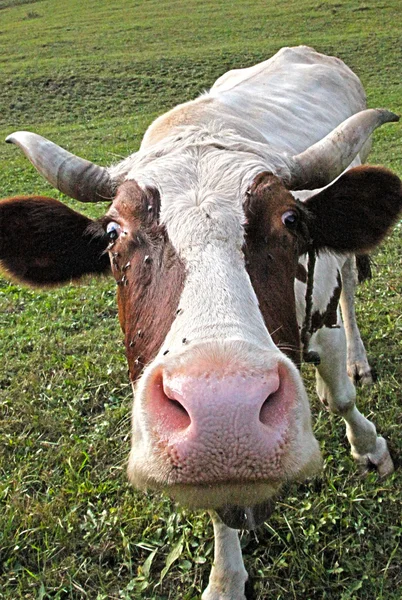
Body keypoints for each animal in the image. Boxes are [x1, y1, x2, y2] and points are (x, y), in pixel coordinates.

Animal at [0, 48, 402, 600]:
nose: (223, 412)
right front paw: (226, 577)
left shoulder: (321, 312)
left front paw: (370, 447)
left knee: (350, 283)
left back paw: (357, 362)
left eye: (291, 220)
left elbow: (344, 396)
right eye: (112, 233)